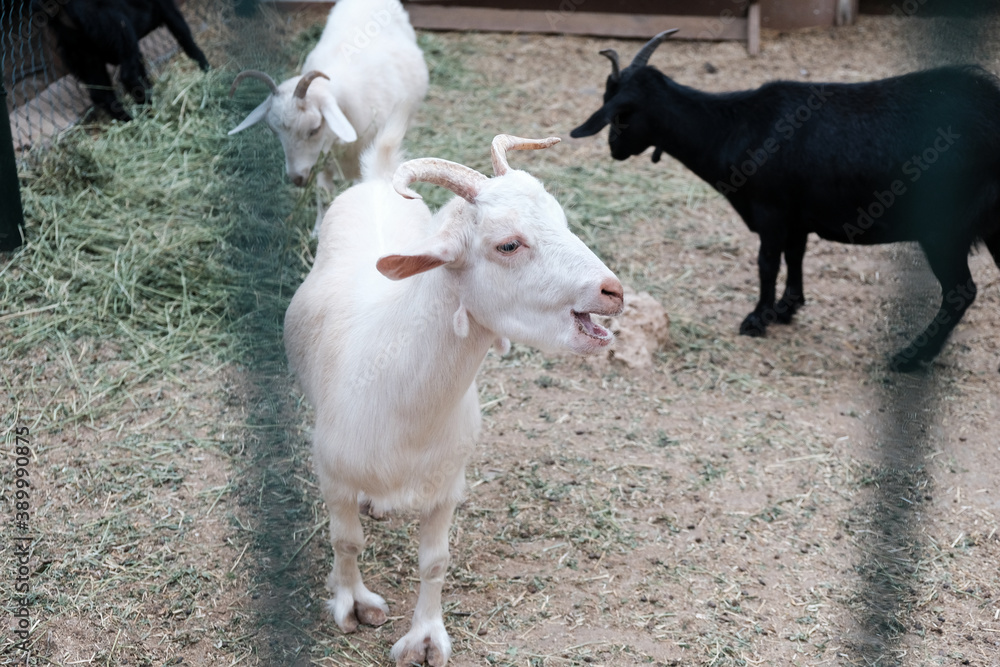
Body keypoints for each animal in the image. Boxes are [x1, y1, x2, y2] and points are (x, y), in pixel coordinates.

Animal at [40, 0, 209, 120]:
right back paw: (149, 110)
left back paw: (130, 119)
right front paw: (206, 69)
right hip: (117, 28)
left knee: (102, 93)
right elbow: (184, 35)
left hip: (80, 54)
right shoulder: (166, 8)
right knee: (128, 76)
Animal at [284, 132, 624, 667]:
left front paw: (425, 638)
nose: (613, 291)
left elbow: (435, 561)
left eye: (562, 219)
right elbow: (346, 541)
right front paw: (351, 604)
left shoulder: (446, 485)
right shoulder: (333, 474)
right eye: (508, 244)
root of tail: (376, 179)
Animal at [572, 31, 1000, 370]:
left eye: (621, 114)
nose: (614, 150)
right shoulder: (797, 217)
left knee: (960, 292)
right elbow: (795, 257)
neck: (734, 127)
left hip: (946, 229)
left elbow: (767, 264)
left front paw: (756, 319)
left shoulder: (772, 212)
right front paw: (786, 308)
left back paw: (911, 357)